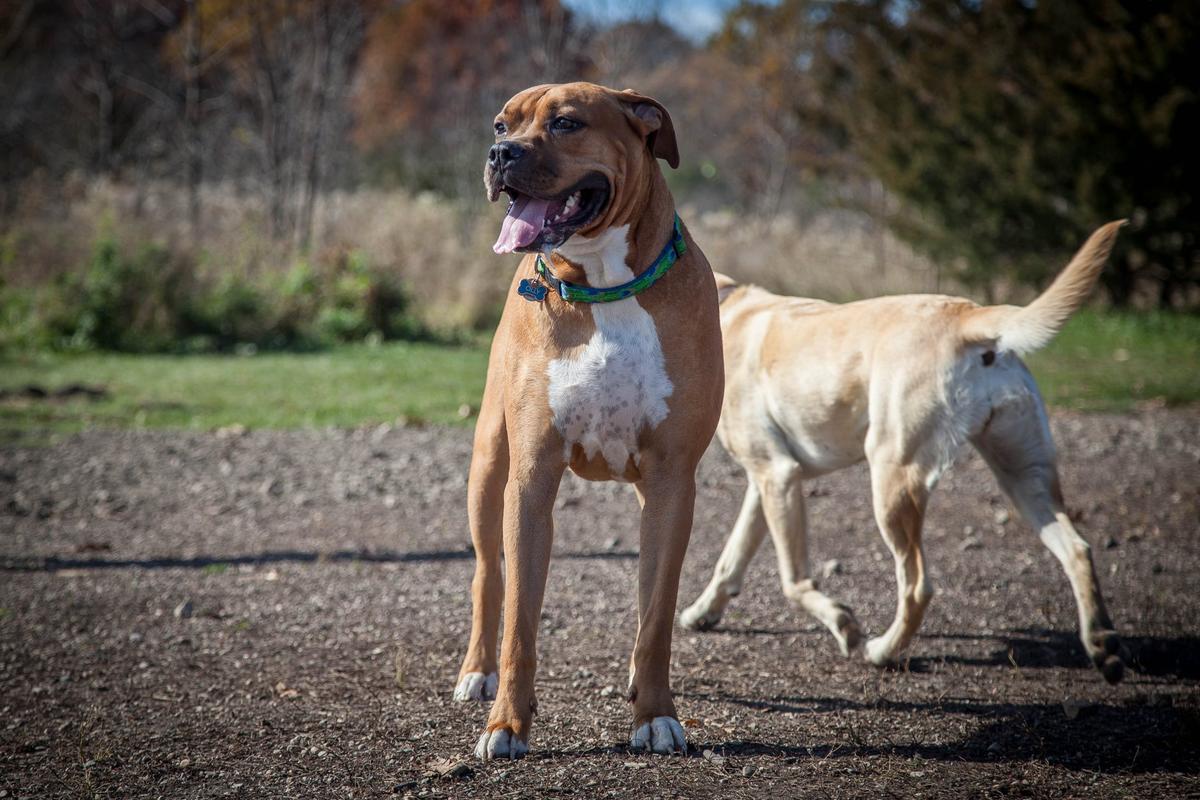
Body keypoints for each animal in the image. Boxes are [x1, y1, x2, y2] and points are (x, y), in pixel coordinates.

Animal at [453, 84, 720, 762]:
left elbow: (656, 616)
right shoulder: (531, 477)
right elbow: (520, 619)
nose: (499, 153)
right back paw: (476, 672)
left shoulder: (673, 482)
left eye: (567, 123)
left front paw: (655, 716)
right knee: (488, 577)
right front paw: (505, 723)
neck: (603, 288)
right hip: (488, 469)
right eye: (502, 124)